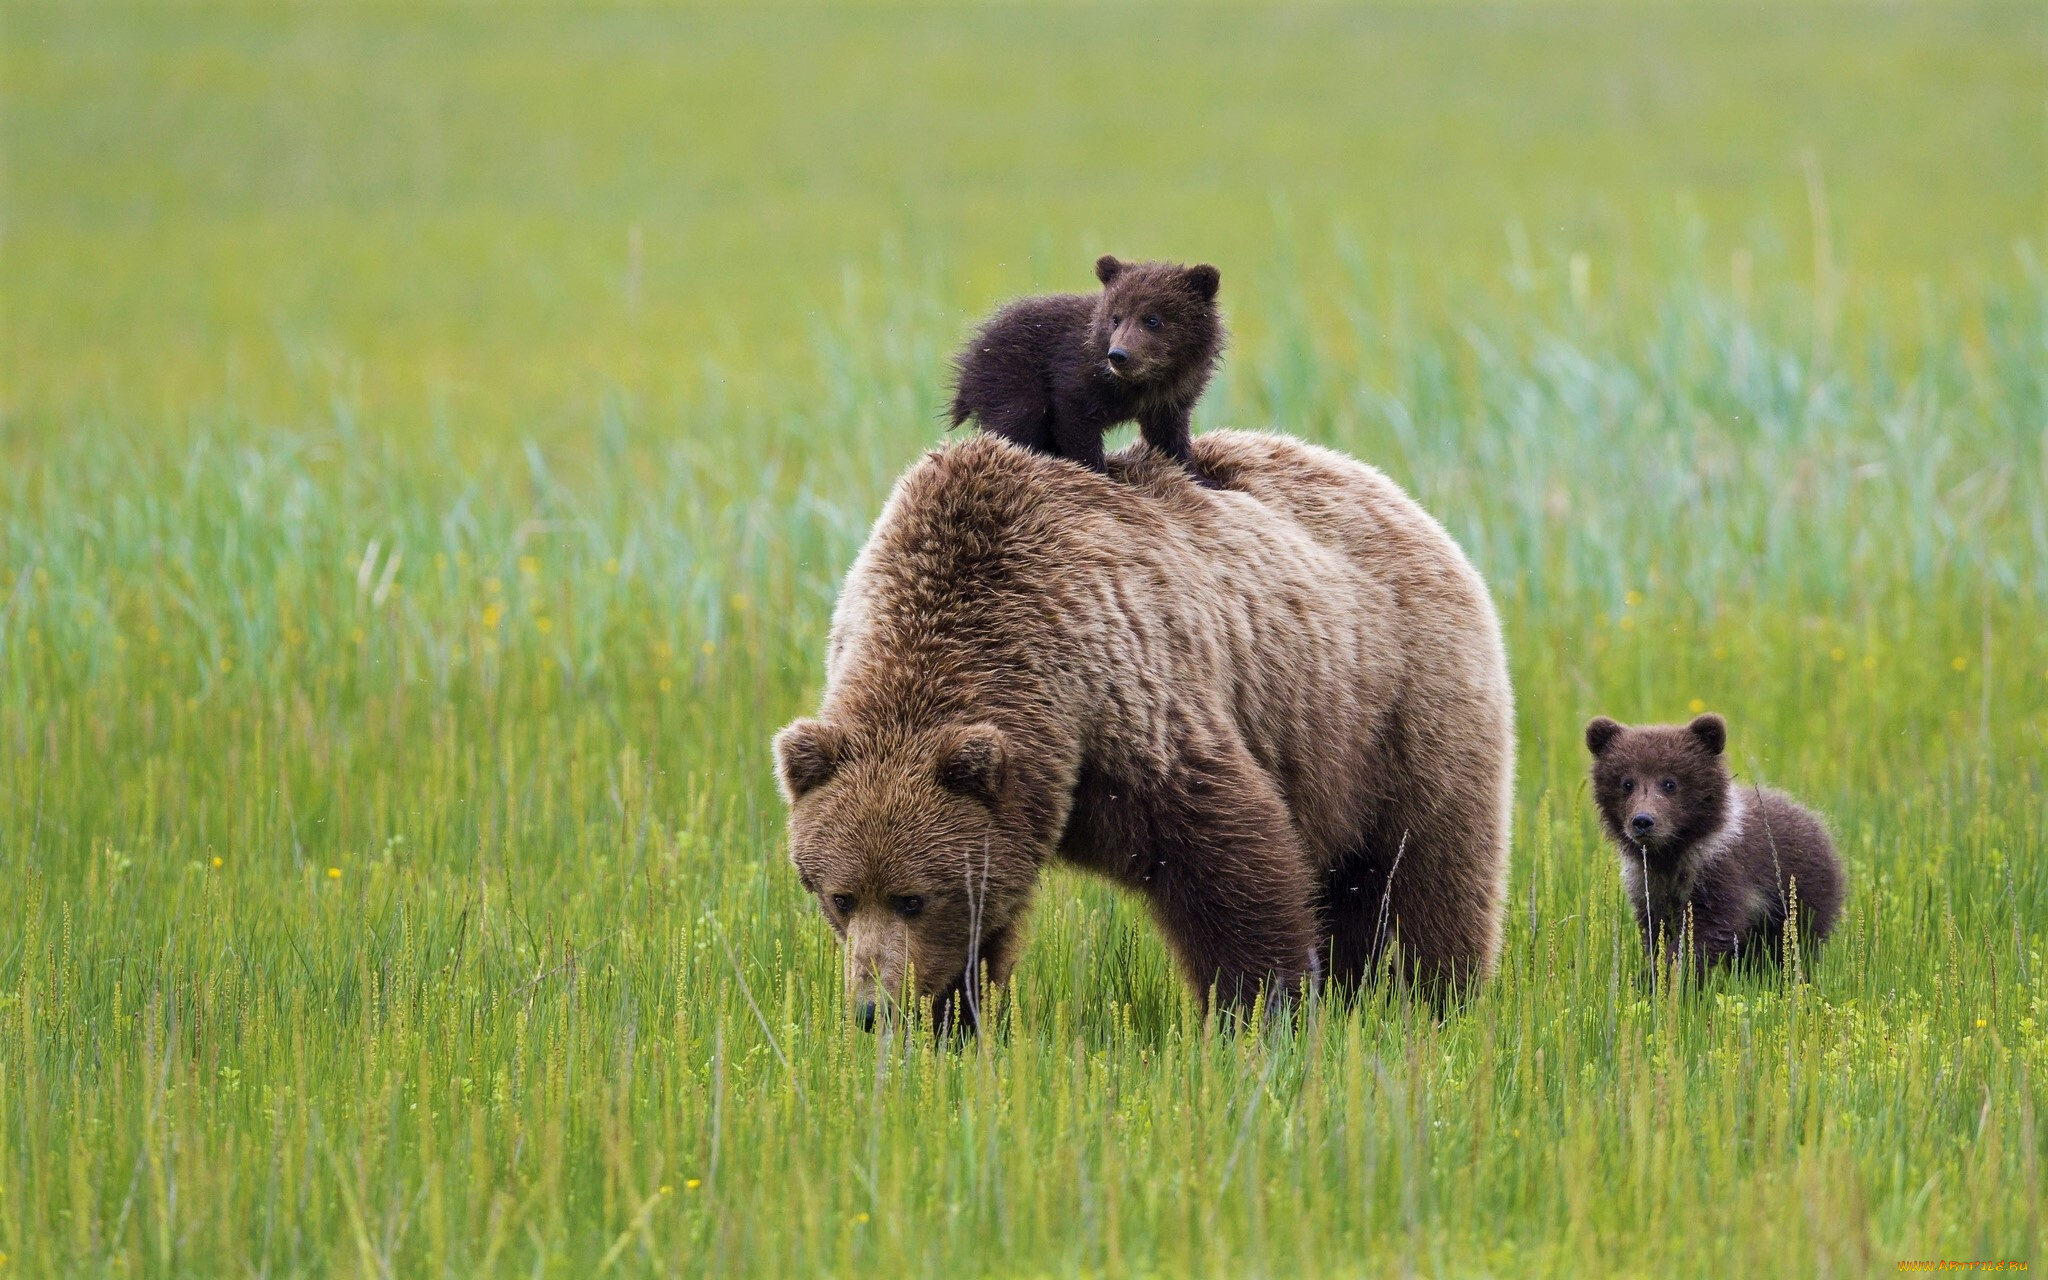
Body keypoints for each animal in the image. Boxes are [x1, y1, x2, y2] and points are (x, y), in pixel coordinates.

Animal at [773, 429, 1515, 1031]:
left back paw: (1435, 1003)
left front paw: (1261, 1013)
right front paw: (956, 1025)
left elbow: (1231, 859)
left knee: (1427, 872)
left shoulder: (1126, 697)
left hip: (1396, 707)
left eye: (912, 898)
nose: (871, 1009)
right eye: (840, 897)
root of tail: (1395, 494)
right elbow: (985, 925)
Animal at [946, 255, 1224, 486]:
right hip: (1012, 375)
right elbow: (1075, 421)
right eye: (1116, 318)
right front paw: (1097, 474)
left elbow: (1169, 435)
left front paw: (1200, 476)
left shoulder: (1170, 396)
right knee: (1016, 422)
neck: (1146, 381)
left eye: (1152, 319)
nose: (1118, 355)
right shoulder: (1075, 374)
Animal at [1584, 713, 1844, 971]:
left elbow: (1708, 930)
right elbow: (1657, 931)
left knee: (1794, 943)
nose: (1643, 821)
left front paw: (1662, 971)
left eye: (1670, 783)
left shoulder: (1718, 872)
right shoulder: (1648, 884)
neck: (1672, 852)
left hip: (1799, 894)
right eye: (1627, 783)